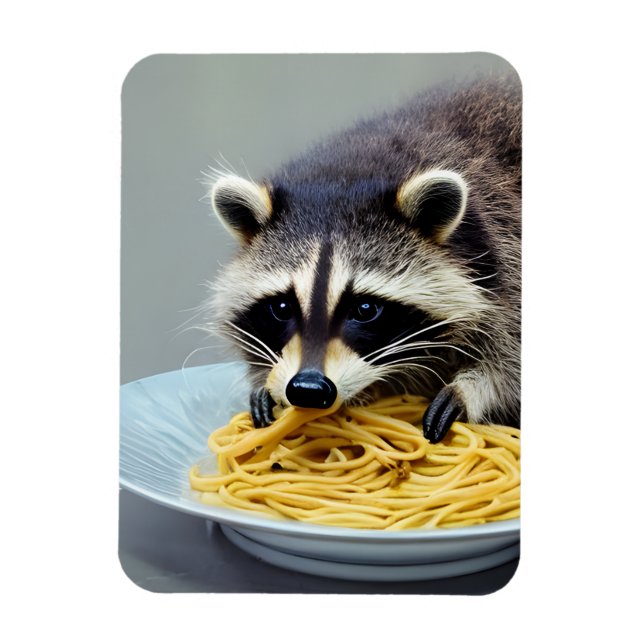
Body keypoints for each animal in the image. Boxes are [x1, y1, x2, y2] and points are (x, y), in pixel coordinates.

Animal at [205, 74, 521, 443]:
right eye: (281, 307)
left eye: (365, 309)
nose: (308, 389)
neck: (349, 171)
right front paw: (264, 384)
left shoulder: (506, 249)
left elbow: (510, 359)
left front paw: (472, 388)